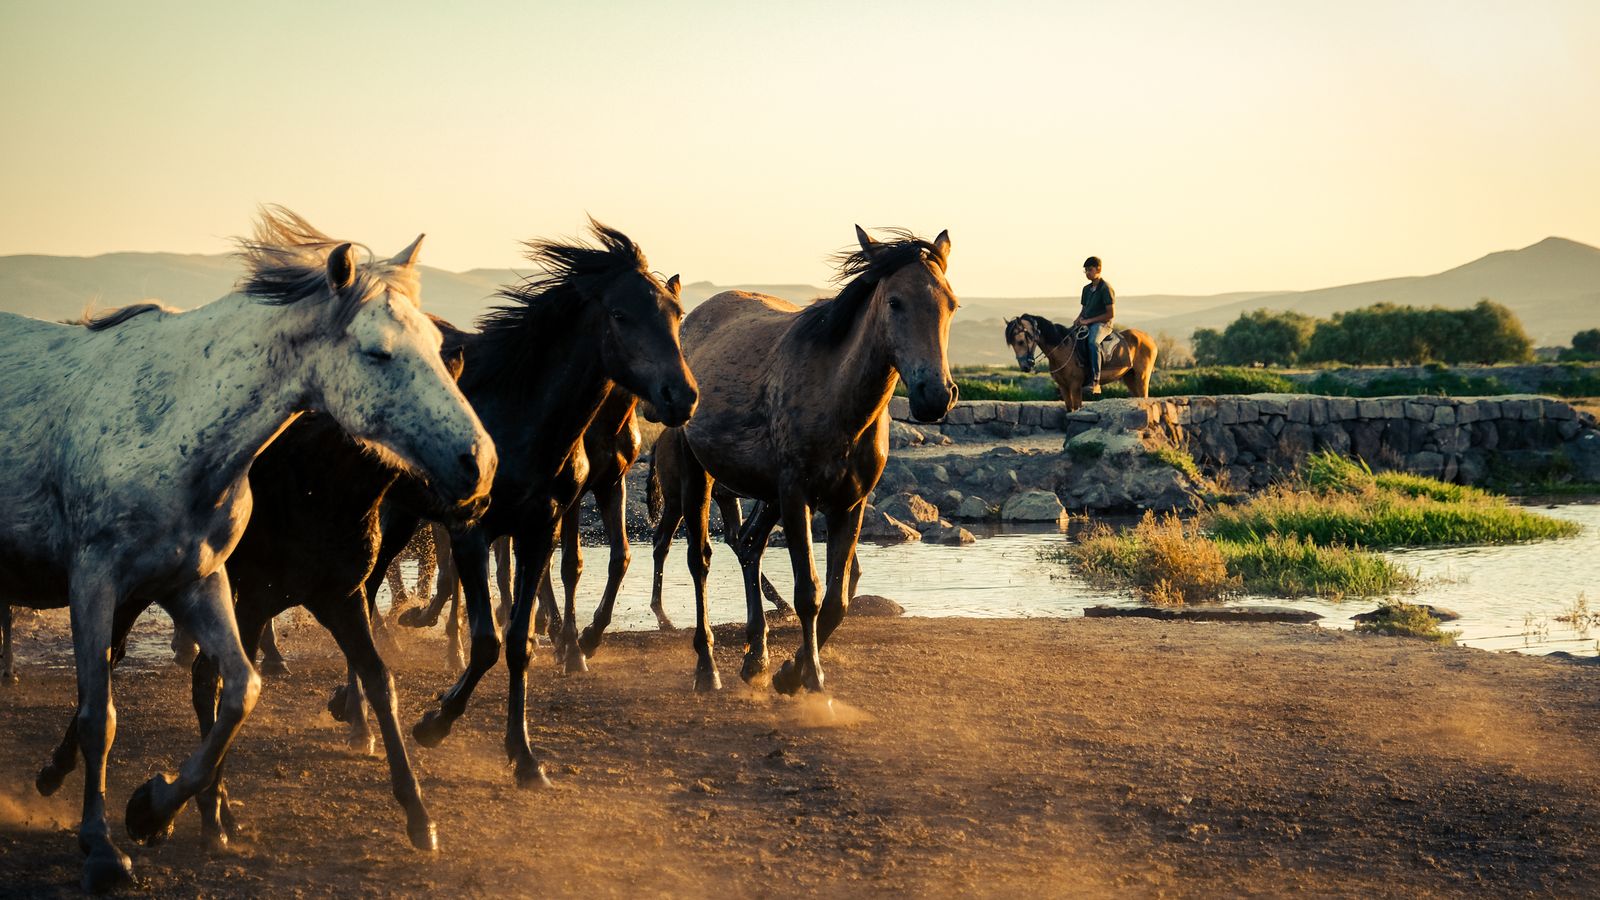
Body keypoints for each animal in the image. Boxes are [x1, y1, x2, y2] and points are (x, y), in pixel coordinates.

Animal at [0, 207, 494, 892]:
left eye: (436, 348)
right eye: (378, 352)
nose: (481, 464)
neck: (173, 423)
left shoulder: (201, 582)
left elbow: (241, 690)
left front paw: (153, 809)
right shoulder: (95, 581)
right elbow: (102, 714)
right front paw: (102, 847)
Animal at [370, 220, 698, 788]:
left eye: (676, 314)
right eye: (620, 314)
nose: (681, 395)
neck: (518, 418)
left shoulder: (539, 528)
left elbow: (519, 640)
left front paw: (523, 756)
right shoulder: (472, 532)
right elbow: (486, 639)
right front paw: (436, 722)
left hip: (405, 512)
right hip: (389, 514)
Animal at [651, 226, 958, 694]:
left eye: (951, 303)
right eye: (894, 302)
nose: (935, 395)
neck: (837, 398)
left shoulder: (849, 504)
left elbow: (837, 599)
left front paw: (788, 671)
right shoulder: (797, 497)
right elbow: (808, 593)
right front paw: (811, 678)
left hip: (765, 497)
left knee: (749, 547)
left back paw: (756, 656)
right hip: (699, 478)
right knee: (699, 559)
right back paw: (708, 668)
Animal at [1003, 313, 1158, 410]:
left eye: (1020, 341)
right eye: (1012, 344)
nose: (1025, 366)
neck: (1062, 349)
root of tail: (1149, 338)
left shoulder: (1075, 386)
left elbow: (1077, 408)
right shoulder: (1063, 387)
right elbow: (1069, 410)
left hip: (1142, 377)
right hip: (1130, 377)